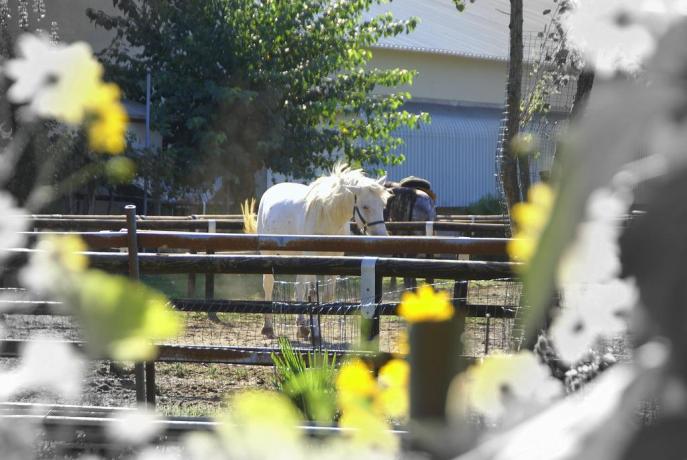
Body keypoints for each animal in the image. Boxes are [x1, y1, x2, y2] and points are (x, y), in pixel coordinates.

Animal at [245, 164, 390, 340]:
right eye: (365, 207)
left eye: (383, 206)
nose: (381, 237)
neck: (327, 216)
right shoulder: (312, 257)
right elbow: (314, 294)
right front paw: (315, 332)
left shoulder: (334, 259)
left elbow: (326, 295)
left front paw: (313, 329)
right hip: (268, 254)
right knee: (269, 284)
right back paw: (268, 327)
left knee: (299, 287)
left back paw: (301, 327)